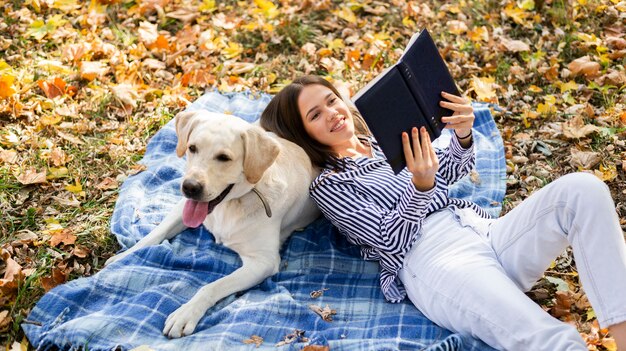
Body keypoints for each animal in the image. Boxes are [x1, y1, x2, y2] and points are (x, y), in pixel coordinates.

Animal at [105, 110, 320, 338]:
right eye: (192, 148)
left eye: (224, 158)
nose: (190, 187)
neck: (230, 205)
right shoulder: (182, 209)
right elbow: (154, 234)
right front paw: (125, 256)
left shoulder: (263, 261)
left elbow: (212, 286)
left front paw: (186, 313)